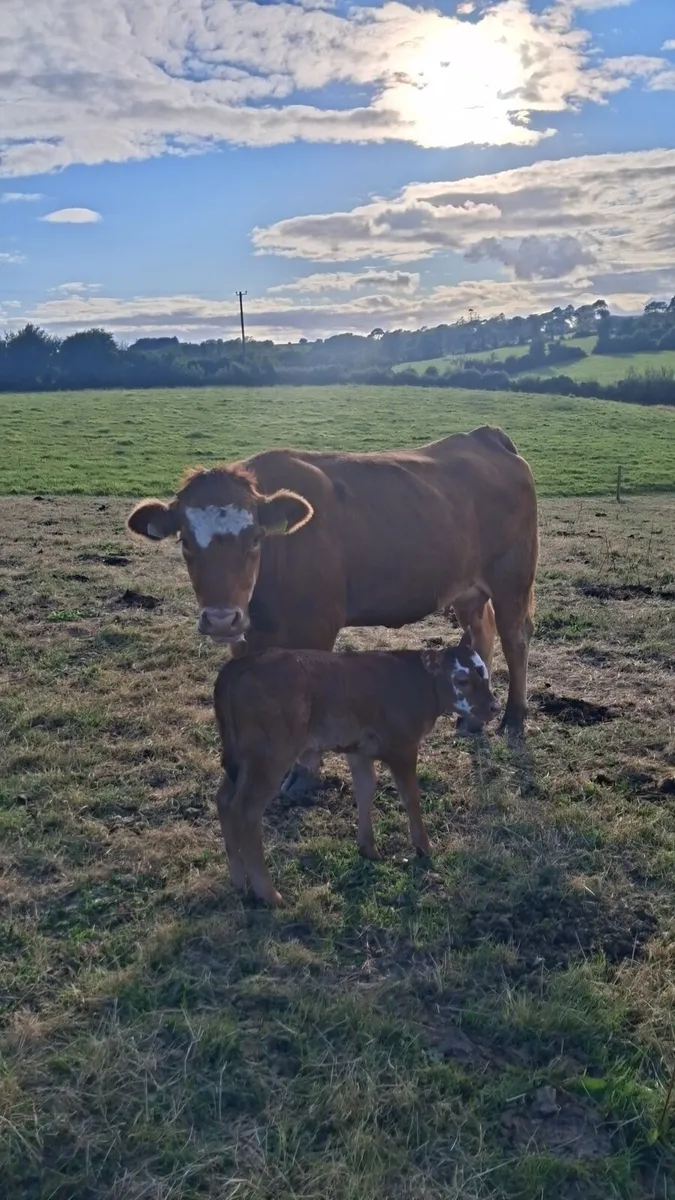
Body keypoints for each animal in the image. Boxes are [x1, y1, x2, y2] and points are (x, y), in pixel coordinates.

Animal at [127, 425, 537, 788]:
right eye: (184, 540)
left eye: (256, 538)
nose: (221, 619)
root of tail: (485, 436)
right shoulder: (247, 639)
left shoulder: (317, 628)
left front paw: (303, 774)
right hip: (467, 588)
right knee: (481, 632)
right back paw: (473, 720)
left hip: (513, 577)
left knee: (515, 638)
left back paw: (514, 718)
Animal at [212, 631, 501, 904]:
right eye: (461, 680)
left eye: (485, 675)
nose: (494, 707)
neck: (417, 683)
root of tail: (239, 665)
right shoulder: (403, 747)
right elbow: (411, 796)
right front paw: (423, 847)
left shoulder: (359, 751)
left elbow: (365, 790)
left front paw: (368, 848)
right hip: (269, 757)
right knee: (246, 810)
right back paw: (269, 894)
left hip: (243, 759)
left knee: (224, 800)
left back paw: (239, 882)